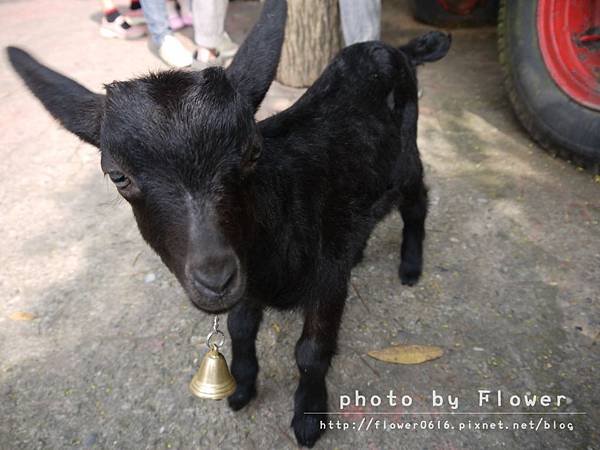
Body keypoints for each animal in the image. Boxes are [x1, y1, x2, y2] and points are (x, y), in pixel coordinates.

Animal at [7, 0, 448, 446]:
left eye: (252, 152)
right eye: (118, 176)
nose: (215, 279)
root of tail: (398, 51)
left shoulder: (327, 278)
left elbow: (311, 351)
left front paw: (308, 418)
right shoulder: (249, 283)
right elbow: (239, 327)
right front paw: (242, 386)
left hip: (406, 157)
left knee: (417, 203)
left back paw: (411, 266)